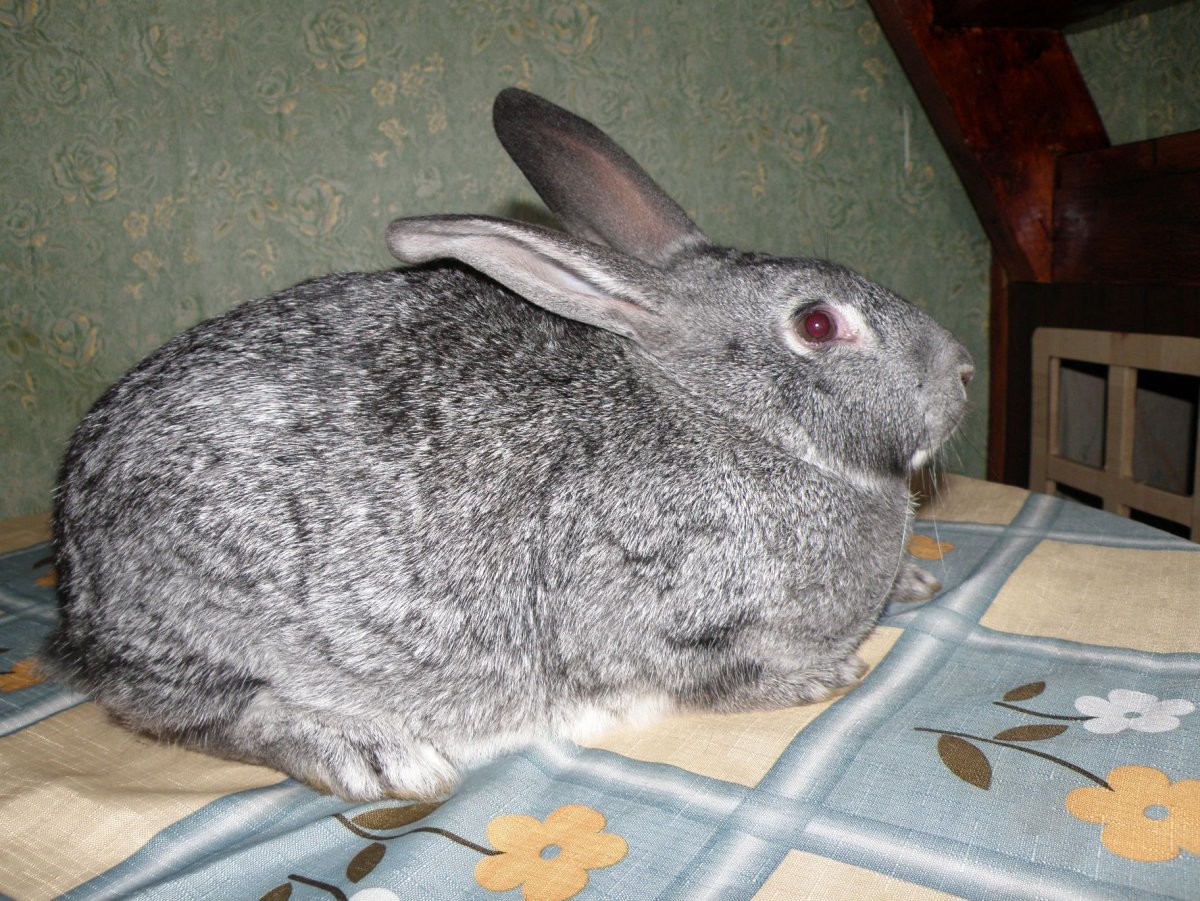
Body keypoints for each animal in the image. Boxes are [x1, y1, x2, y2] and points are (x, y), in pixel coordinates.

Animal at [43, 88, 973, 801]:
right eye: (817, 324)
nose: (962, 372)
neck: (725, 413)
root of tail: (75, 581)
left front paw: (915, 581)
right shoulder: (646, 613)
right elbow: (712, 674)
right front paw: (823, 675)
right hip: (200, 622)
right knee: (197, 712)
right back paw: (370, 753)